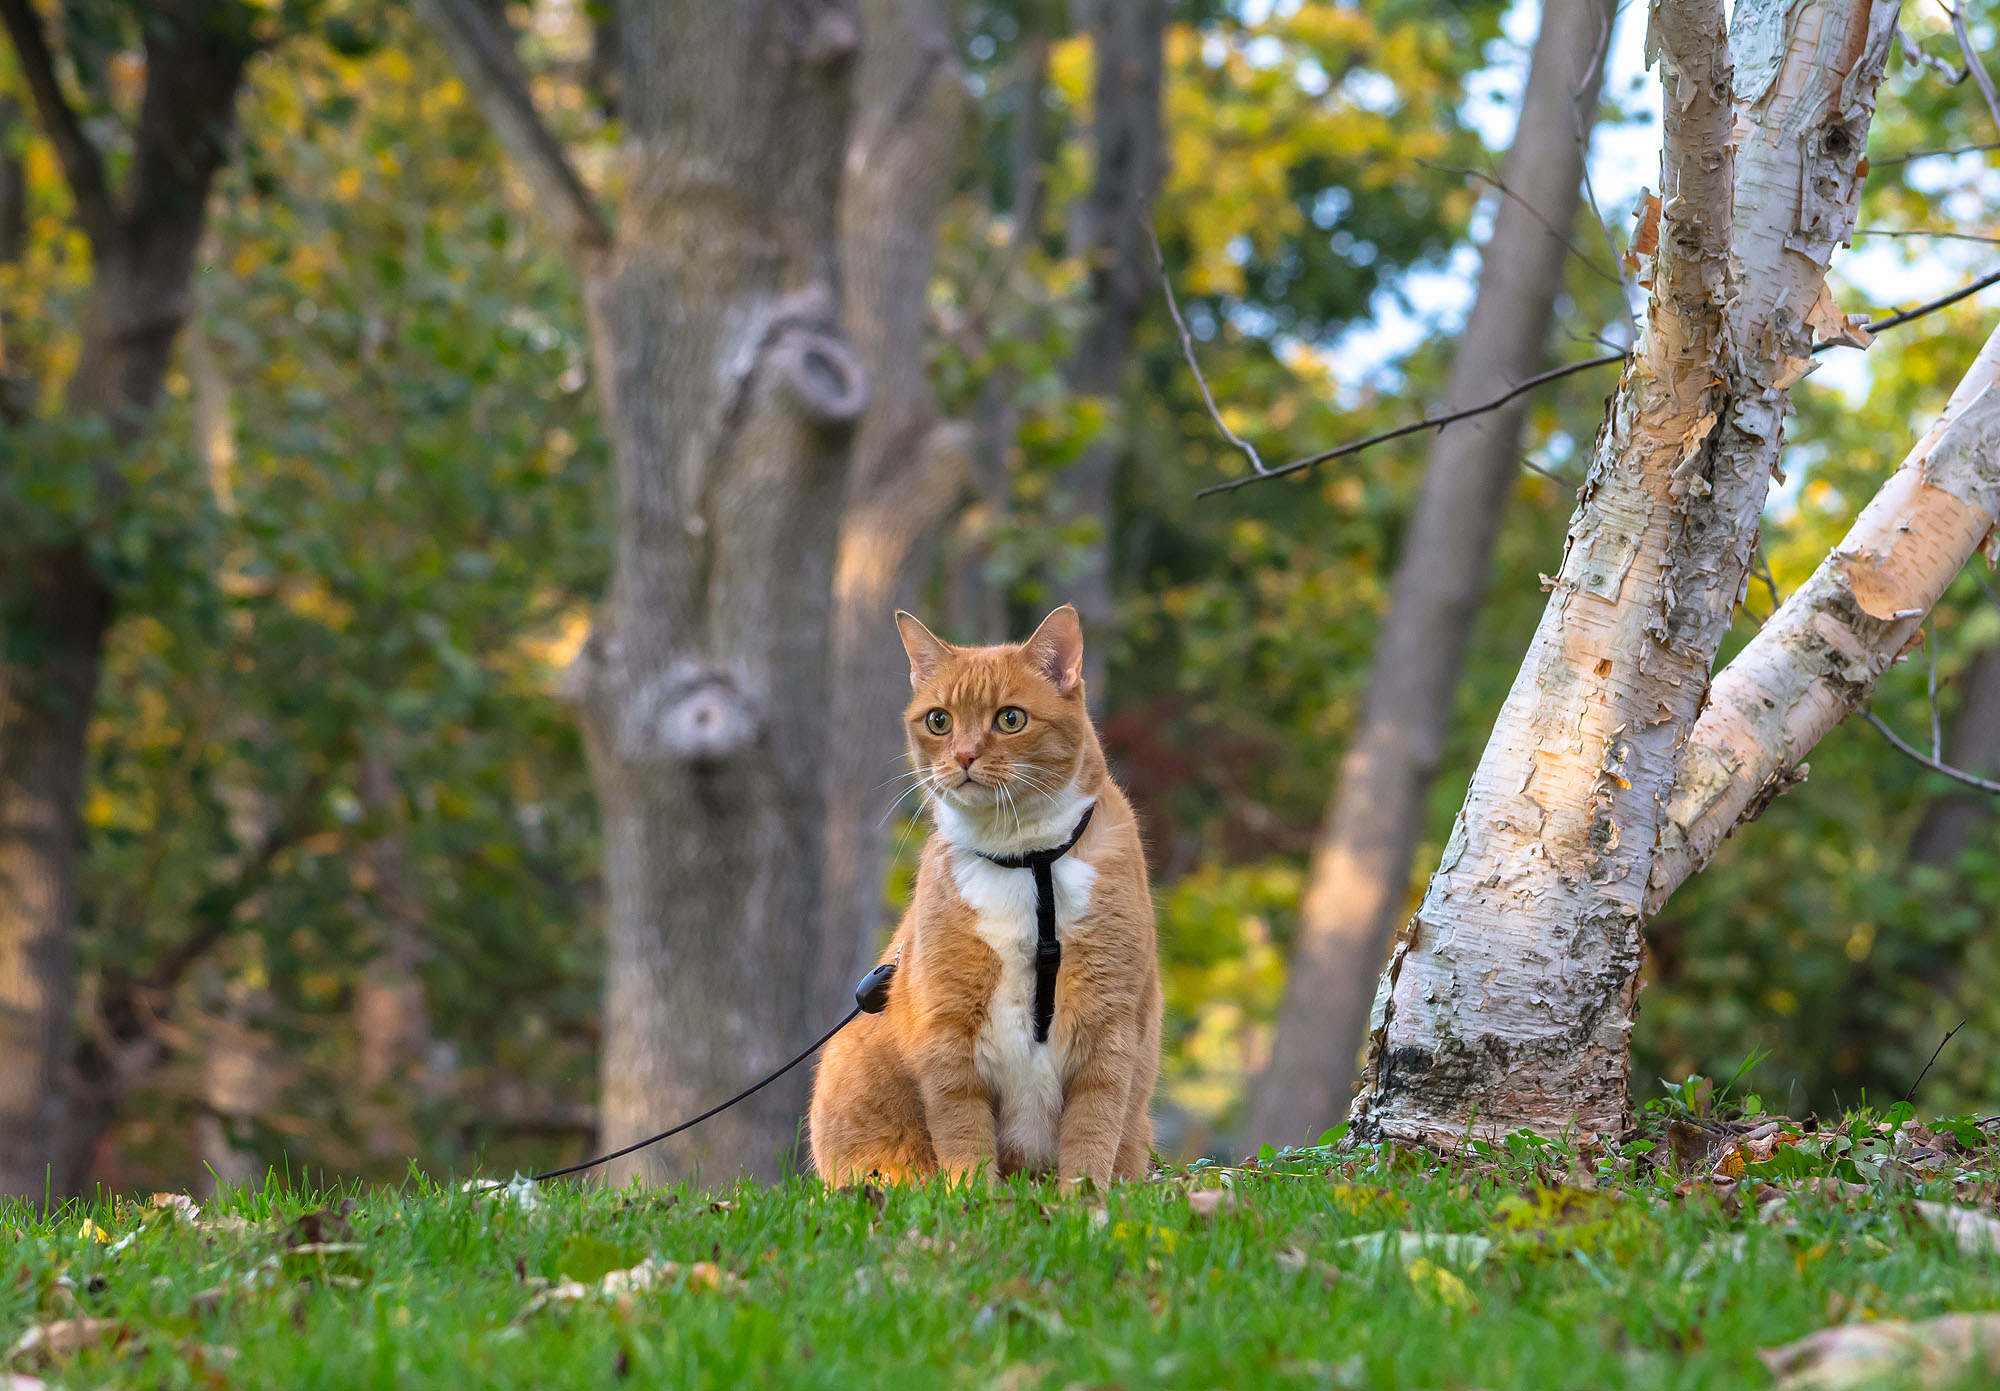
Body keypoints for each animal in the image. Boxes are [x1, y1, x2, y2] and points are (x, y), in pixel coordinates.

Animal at [804, 607, 1168, 1183]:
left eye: (1010, 719)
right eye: (939, 721)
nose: (963, 755)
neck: (1025, 860)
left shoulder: (1109, 1025)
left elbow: (1092, 1132)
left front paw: (1084, 1200)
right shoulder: (947, 1027)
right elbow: (963, 1135)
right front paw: (977, 1198)